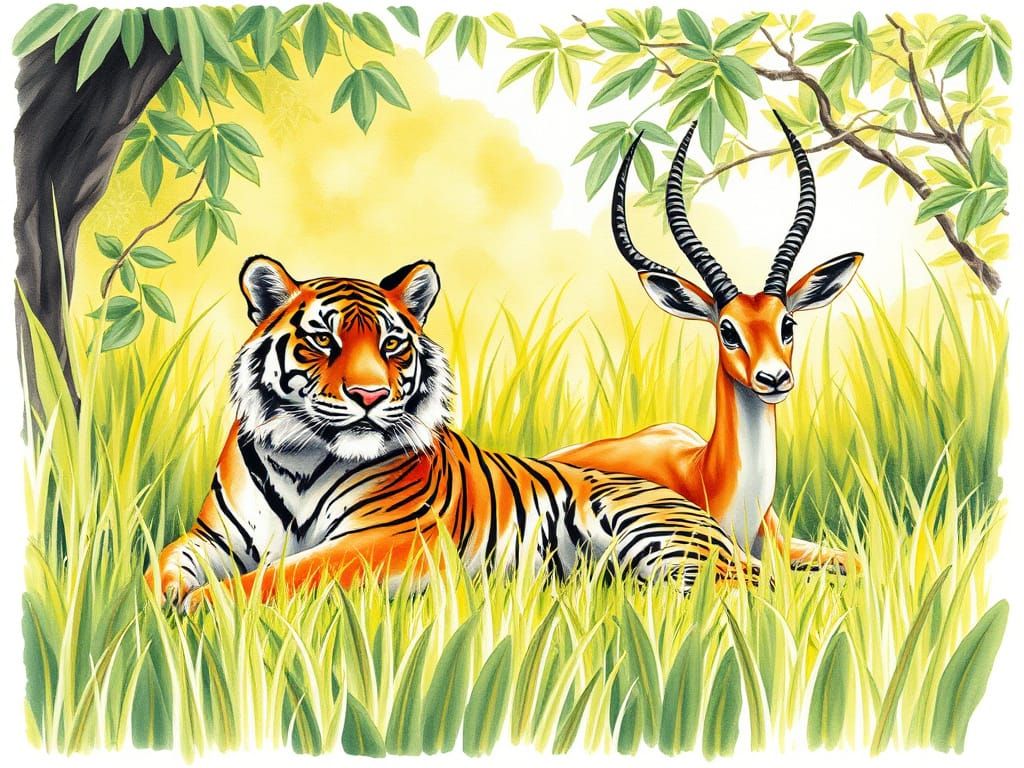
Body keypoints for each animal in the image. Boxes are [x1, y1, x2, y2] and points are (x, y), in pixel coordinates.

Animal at [144, 257, 762, 611]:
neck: (302, 457)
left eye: (392, 344)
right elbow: (159, 567)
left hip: (660, 533)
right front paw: (165, 599)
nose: (369, 396)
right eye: (323, 339)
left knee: (743, 593)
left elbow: (281, 577)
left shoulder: (395, 539)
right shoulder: (214, 538)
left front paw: (200, 607)